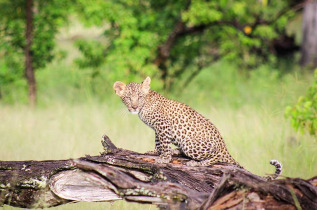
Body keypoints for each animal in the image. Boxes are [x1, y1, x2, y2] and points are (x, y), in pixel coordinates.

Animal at [113, 76, 282, 179]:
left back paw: (195, 163)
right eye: (128, 98)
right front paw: (156, 152)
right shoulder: (157, 129)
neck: (145, 106)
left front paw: (164, 158)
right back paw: (177, 151)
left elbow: (164, 143)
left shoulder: (163, 126)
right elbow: (158, 142)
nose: (134, 106)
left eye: (139, 97)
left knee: (215, 157)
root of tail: (224, 147)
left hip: (192, 144)